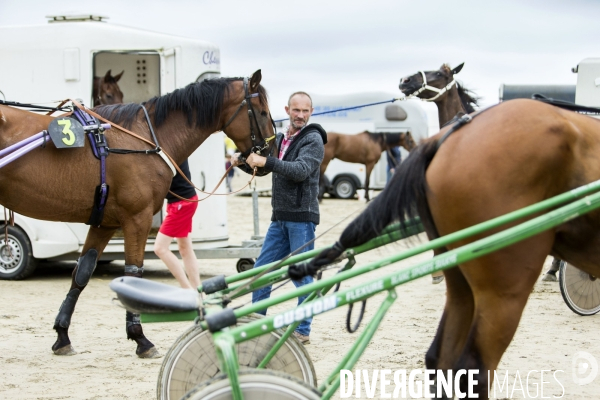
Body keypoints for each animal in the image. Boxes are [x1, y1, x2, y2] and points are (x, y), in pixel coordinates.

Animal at [0, 68, 276, 356]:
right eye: (262, 111)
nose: (272, 151)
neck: (143, 137)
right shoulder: (137, 219)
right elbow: (134, 273)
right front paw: (140, 337)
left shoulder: (105, 223)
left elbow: (83, 272)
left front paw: (62, 333)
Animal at [302, 99, 600, 396]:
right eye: (407, 136)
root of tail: (443, 141)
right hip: (505, 289)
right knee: (475, 370)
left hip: (461, 282)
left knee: (440, 358)